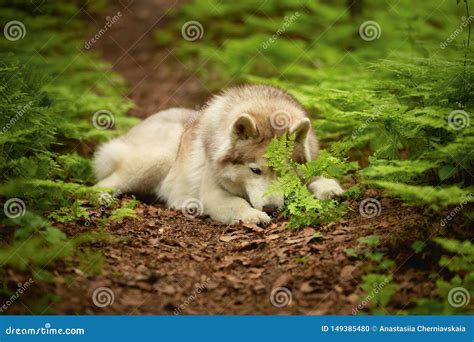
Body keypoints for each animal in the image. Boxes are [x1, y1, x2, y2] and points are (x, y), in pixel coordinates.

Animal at [93, 84, 344, 224]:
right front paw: (253, 216)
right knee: (101, 183)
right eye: (255, 170)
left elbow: (317, 178)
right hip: (158, 160)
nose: (271, 210)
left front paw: (329, 188)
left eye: (284, 172)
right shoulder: (212, 196)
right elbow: (238, 204)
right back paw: (102, 197)